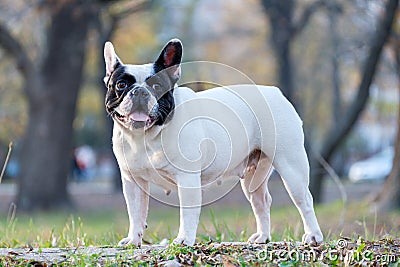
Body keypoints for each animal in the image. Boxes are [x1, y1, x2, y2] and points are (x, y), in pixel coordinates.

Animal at [103, 38, 322, 247]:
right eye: (121, 85)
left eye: (157, 87)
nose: (140, 92)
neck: (144, 137)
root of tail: (275, 92)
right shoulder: (133, 182)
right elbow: (136, 214)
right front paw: (133, 240)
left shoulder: (187, 180)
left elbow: (187, 213)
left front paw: (184, 240)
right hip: (253, 176)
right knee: (261, 201)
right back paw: (263, 237)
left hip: (291, 166)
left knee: (304, 200)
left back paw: (313, 236)